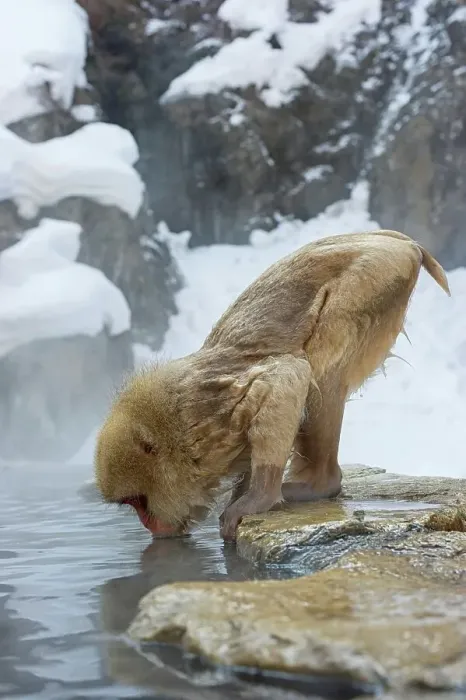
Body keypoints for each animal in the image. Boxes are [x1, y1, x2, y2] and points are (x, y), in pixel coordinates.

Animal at [94, 229, 450, 541]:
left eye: (138, 502)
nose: (149, 526)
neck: (177, 435)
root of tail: (397, 240)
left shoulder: (209, 416)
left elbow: (287, 377)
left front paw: (258, 496)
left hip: (375, 275)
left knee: (319, 367)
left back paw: (316, 484)